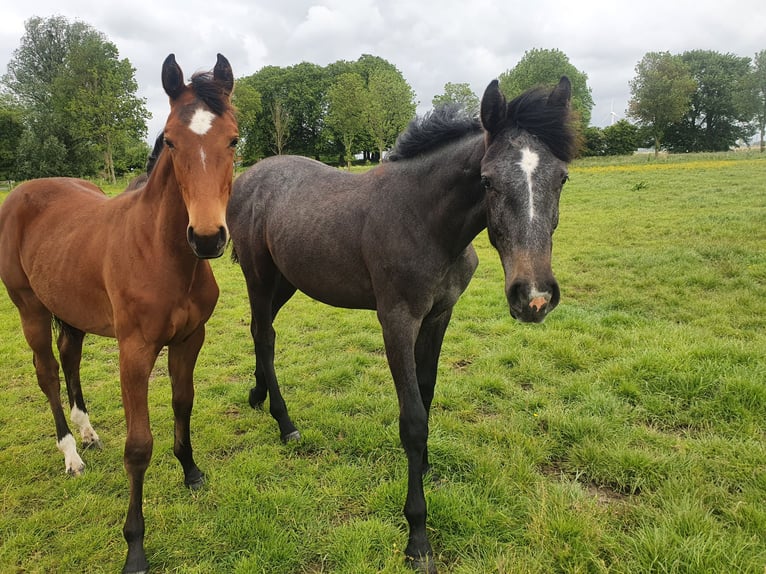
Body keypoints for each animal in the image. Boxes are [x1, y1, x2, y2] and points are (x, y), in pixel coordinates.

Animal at [0, 54, 238, 574]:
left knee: (69, 357)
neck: (163, 253)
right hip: (30, 308)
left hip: (71, 310)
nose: (207, 238)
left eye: (233, 139)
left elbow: (183, 403)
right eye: (170, 140)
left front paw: (190, 471)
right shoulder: (135, 351)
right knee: (47, 372)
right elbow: (139, 446)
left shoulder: (190, 339)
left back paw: (88, 433)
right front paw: (135, 546)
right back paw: (71, 454)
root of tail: (24, 191)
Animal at [231, 79, 580, 572]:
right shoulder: (396, 320)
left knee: (262, 333)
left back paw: (258, 395)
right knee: (263, 335)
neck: (426, 222)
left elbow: (428, 393)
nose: (534, 297)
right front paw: (418, 536)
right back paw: (285, 423)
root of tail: (246, 177)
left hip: (286, 281)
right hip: (260, 277)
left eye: (562, 178)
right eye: (487, 180)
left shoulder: (438, 316)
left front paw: (428, 466)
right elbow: (412, 419)